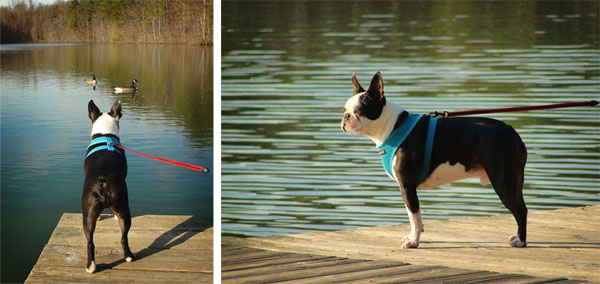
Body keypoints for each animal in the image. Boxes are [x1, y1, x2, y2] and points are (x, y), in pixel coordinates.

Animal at [82, 98, 135, 272]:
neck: (106, 135)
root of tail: (103, 178)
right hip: (122, 206)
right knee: (122, 236)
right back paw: (127, 257)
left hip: (91, 212)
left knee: (91, 241)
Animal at [340, 71, 528, 248]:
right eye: (344, 109)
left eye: (359, 110)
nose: (345, 117)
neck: (393, 126)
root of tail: (511, 131)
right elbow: (415, 217)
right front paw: (414, 236)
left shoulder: (407, 185)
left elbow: (414, 215)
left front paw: (413, 242)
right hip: (514, 179)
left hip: (503, 181)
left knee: (521, 210)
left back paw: (521, 241)